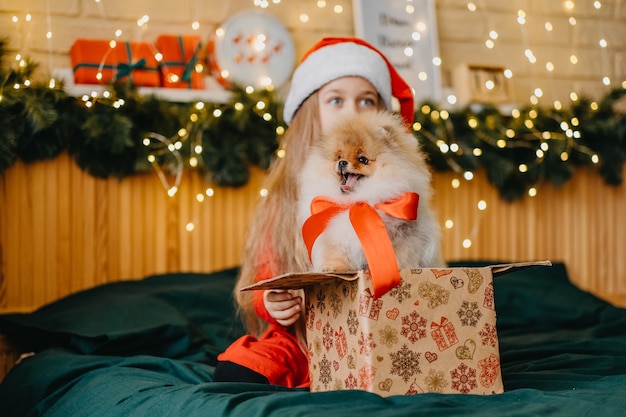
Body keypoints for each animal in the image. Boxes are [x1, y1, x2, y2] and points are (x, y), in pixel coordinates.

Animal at [298, 110, 442, 272]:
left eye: (362, 159)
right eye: (339, 156)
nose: (342, 163)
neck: (355, 202)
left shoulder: (403, 236)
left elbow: (401, 255)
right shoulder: (335, 238)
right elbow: (337, 253)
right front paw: (333, 267)